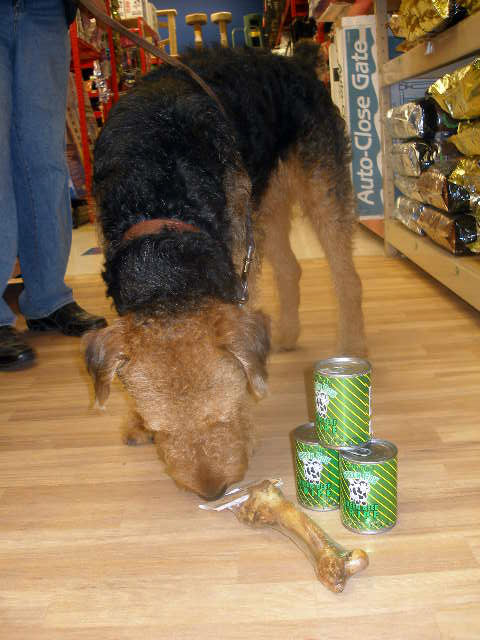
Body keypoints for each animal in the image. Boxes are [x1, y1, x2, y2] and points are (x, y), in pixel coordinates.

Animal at [84, 46, 366, 500]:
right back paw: (286, 336)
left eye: (223, 414)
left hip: (318, 187)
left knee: (346, 277)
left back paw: (354, 347)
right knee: (291, 268)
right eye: (160, 429)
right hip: (265, 203)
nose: (213, 492)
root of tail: (295, 59)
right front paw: (133, 423)